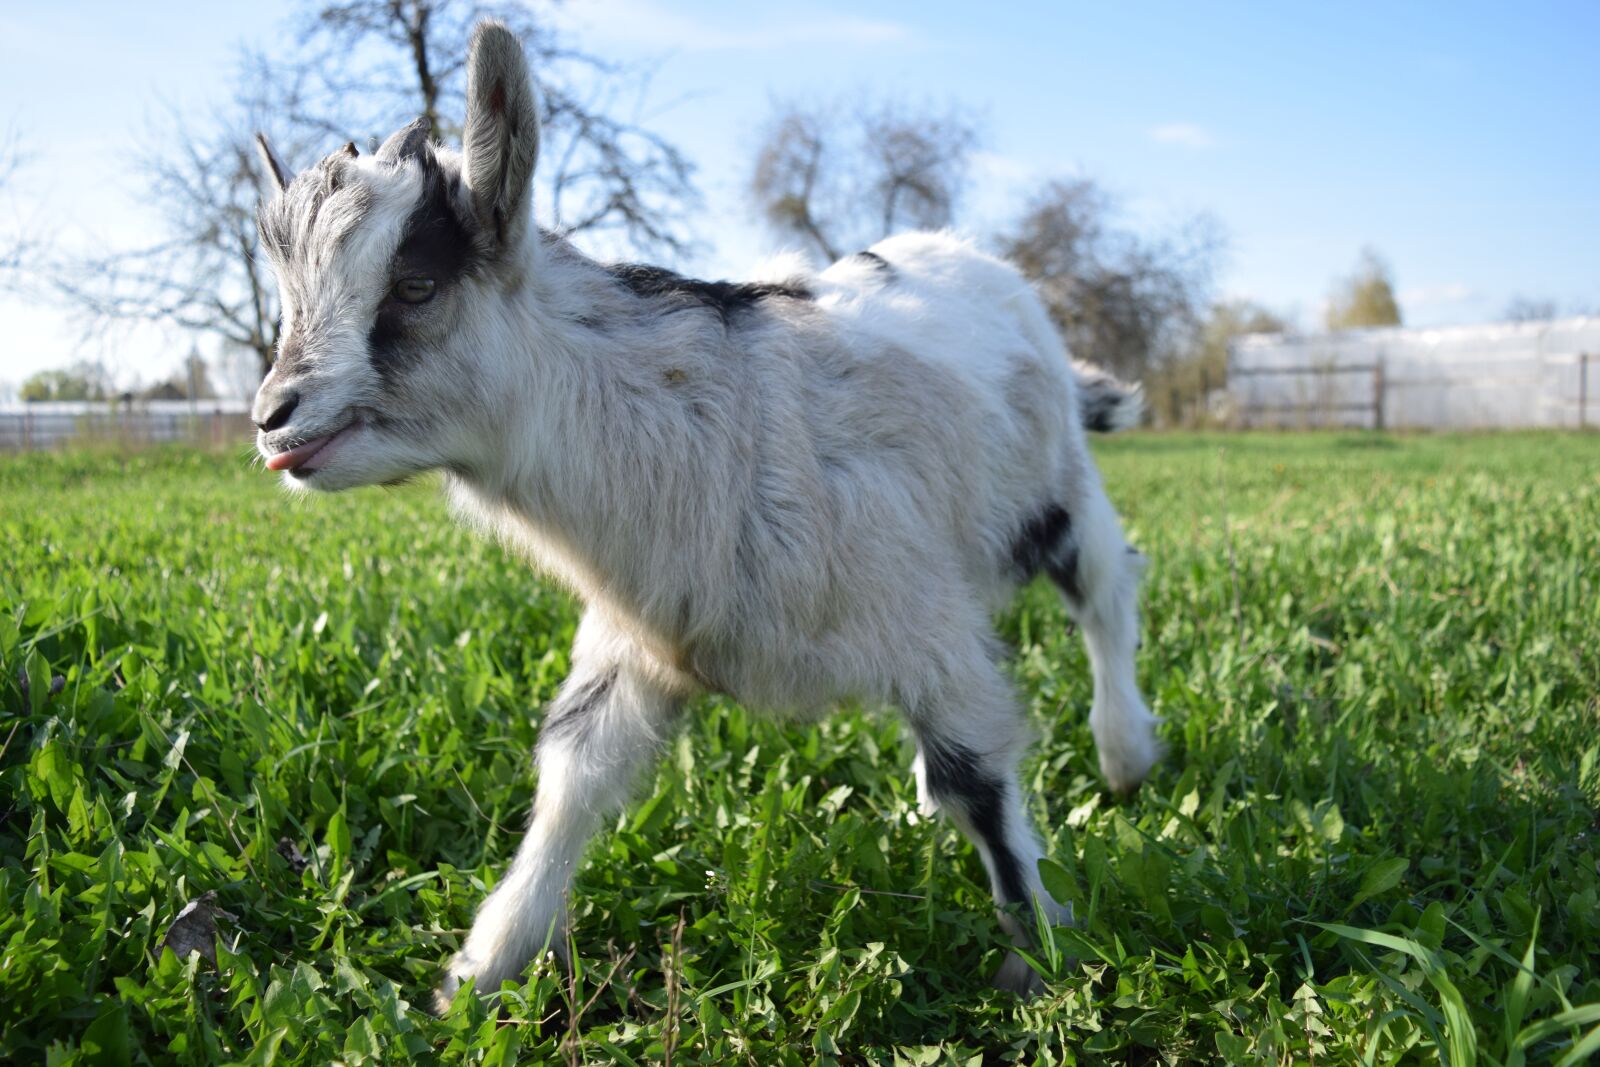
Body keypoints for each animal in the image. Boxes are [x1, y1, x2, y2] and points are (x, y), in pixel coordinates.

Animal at [250, 21, 1160, 1007]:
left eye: (415, 285)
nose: (273, 417)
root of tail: (973, 259)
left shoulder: (925, 624)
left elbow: (978, 782)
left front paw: (1042, 957)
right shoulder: (641, 636)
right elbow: (574, 772)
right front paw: (479, 973)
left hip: (1053, 486)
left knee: (1107, 582)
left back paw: (1125, 754)